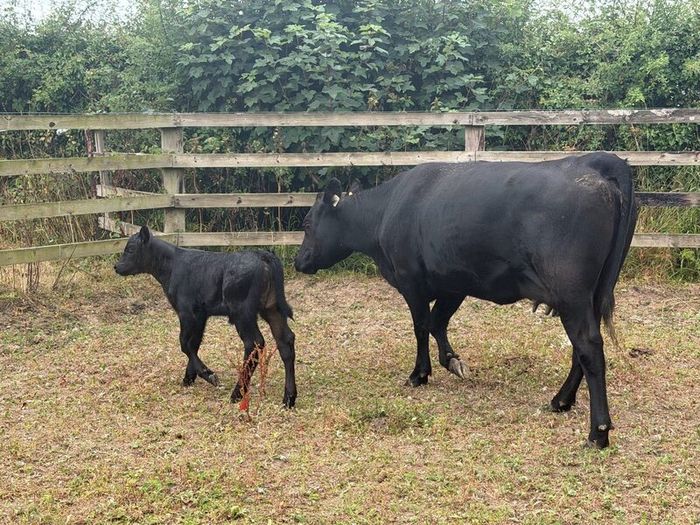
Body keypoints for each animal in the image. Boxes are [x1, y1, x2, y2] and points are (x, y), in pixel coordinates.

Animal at [115, 226, 297, 408]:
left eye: (130, 249)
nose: (116, 266)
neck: (172, 266)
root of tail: (262, 254)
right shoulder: (201, 314)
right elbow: (194, 344)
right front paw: (189, 377)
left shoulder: (186, 312)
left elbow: (184, 343)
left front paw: (207, 374)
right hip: (272, 309)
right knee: (285, 341)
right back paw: (289, 398)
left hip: (242, 313)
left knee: (254, 343)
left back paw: (237, 393)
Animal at [294, 152, 637, 448]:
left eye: (307, 224)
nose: (299, 261)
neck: (387, 210)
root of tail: (593, 163)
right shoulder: (454, 283)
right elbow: (437, 323)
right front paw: (453, 362)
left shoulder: (411, 281)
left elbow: (421, 326)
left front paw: (419, 374)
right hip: (591, 294)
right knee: (581, 349)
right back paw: (561, 400)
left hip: (571, 294)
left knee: (589, 348)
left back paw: (598, 432)